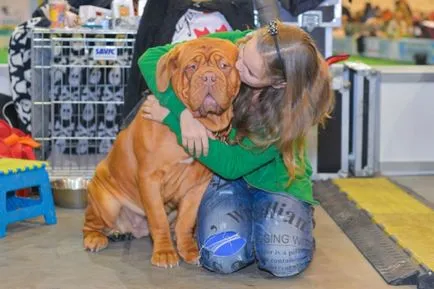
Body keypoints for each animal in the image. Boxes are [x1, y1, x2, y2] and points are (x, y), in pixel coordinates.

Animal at [81, 37, 241, 266]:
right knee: (90, 221)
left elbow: (186, 220)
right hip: (105, 201)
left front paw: (188, 250)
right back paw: (96, 237)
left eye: (224, 65)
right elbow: (158, 219)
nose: (209, 77)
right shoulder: (150, 179)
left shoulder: (197, 187)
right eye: (191, 67)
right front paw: (164, 252)